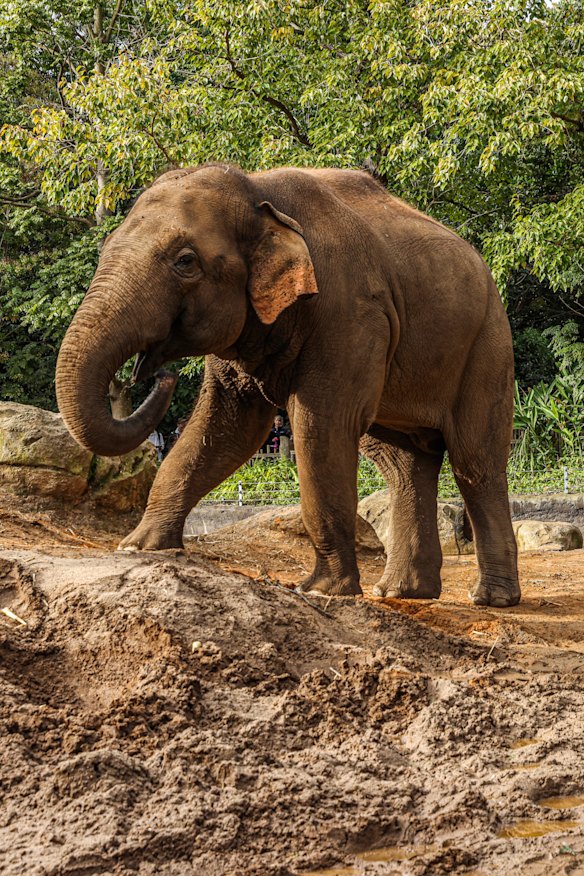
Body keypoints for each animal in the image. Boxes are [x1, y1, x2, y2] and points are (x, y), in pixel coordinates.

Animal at [56, 163, 520, 607]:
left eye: (185, 261)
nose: (159, 375)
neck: (258, 189)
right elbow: (229, 425)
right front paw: (138, 548)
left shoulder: (350, 313)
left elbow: (321, 424)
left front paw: (321, 591)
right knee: (403, 463)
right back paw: (399, 593)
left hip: (488, 345)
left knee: (474, 460)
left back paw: (490, 599)